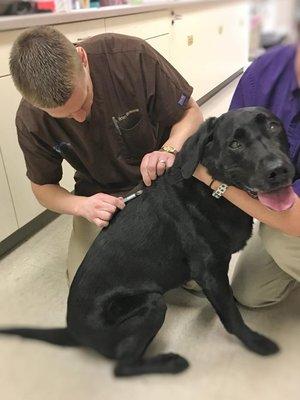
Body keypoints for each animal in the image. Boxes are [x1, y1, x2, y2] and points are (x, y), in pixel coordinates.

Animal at [0, 106, 296, 376]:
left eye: (273, 126)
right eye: (235, 144)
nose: (279, 170)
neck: (211, 191)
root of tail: (72, 330)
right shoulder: (209, 270)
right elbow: (232, 318)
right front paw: (255, 342)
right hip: (152, 304)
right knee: (123, 367)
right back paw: (171, 363)